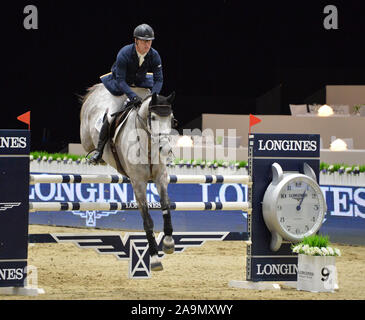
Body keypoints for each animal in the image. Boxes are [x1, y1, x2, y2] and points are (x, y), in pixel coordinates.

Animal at [79, 84, 175, 270]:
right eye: (153, 117)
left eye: (172, 119)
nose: (166, 150)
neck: (148, 145)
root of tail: (98, 89)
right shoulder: (138, 183)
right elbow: (147, 220)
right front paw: (154, 257)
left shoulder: (161, 178)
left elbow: (166, 206)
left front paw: (168, 242)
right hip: (87, 136)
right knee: (94, 135)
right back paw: (97, 156)